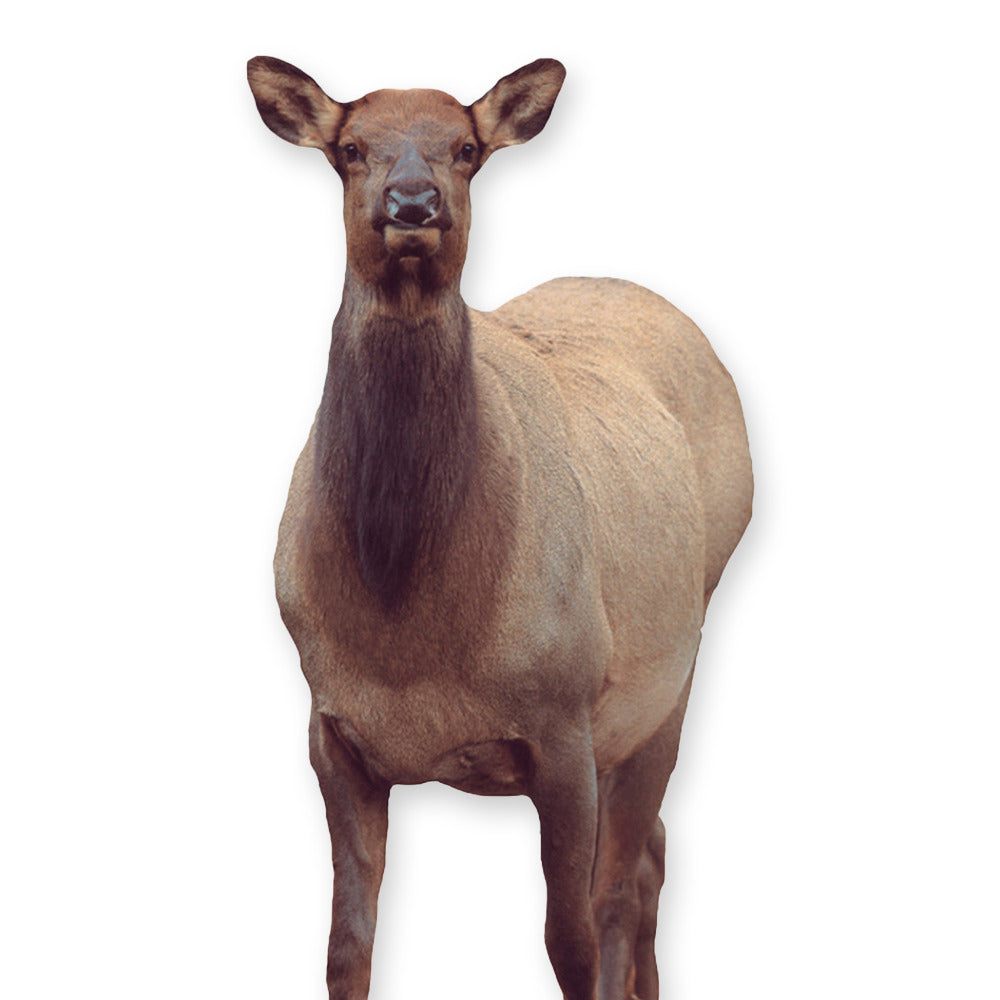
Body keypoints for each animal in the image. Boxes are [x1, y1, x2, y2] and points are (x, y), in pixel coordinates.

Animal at [247, 55, 752, 1000]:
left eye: (468, 149)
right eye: (350, 148)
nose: (413, 204)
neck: (408, 631)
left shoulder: (564, 722)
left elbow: (571, 941)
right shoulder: (330, 730)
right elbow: (345, 951)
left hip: (668, 677)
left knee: (624, 884)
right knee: (654, 856)